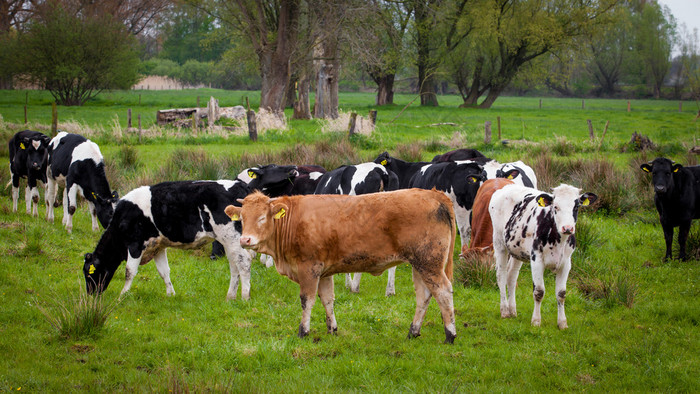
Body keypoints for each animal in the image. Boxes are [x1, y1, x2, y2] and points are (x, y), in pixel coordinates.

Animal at [84, 180, 254, 300]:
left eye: (88, 273)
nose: (90, 294)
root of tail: (241, 185)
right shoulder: (158, 247)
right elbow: (164, 271)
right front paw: (170, 294)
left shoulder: (135, 245)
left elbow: (129, 272)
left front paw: (122, 295)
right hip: (228, 241)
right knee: (234, 265)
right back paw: (230, 296)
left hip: (233, 238)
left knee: (244, 263)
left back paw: (245, 296)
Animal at [227, 189, 462, 344]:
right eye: (242, 218)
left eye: (262, 218)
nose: (245, 240)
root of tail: (434, 194)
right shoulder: (323, 272)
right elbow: (327, 299)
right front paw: (332, 329)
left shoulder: (308, 269)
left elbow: (307, 300)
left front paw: (303, 331)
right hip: (420, 264)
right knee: (424, 295)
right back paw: (413, 332)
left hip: (429, 263)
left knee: (443, 291)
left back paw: (450, 335)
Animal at [490, 185, 600, 330]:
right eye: (555, 207)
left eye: (576, 207)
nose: (567, 228)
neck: (558, 241)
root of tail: (505, 187)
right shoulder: (537, 260)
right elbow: (539, 292)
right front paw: (536, 321)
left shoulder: (566, 264)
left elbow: (561, 294)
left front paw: (562, 323)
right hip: (499, 243)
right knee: (501, 275)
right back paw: (504, 311)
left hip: (517, 250)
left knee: (511, 276)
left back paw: (512, 310)